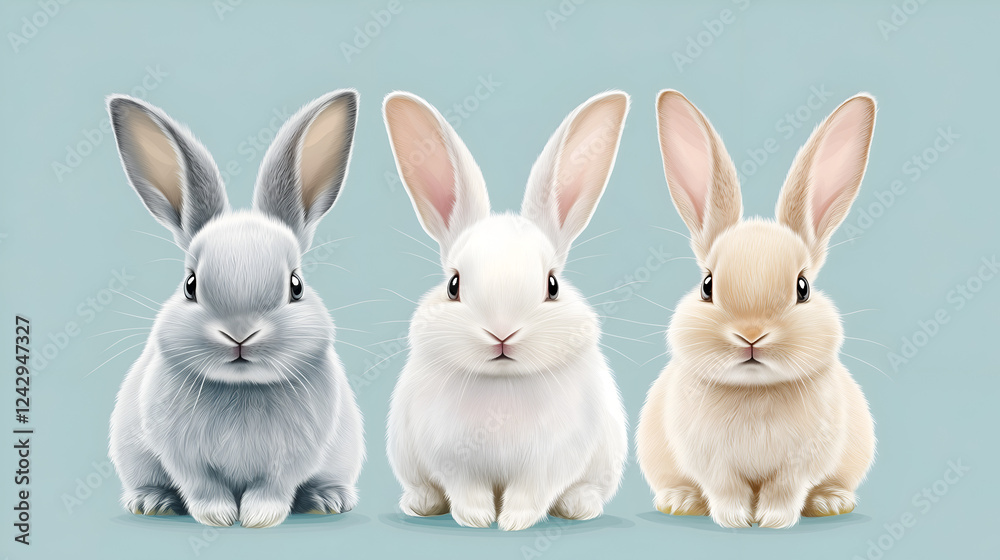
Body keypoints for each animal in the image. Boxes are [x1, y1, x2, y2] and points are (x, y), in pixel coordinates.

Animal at [106, 90, 364, 528]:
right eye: (190, 285)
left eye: (296, 286)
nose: (239, 334)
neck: (242, 388)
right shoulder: (184, 458)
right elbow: (202, 487)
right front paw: (219, 518)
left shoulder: (291, 460)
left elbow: (273, 488)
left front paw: (258, 518)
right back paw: (152, 502)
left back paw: (326, 499)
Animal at [382, 91, 630, 531]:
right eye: (453, 285)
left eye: (552, 285)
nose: (501, 333)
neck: (501, 383)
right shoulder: (454, 460)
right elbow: (467, 489)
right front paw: (477, 519)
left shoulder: (550, 463)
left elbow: (531, 492)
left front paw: (514, 522)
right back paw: (422, 504)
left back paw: (578, 506)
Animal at [636, 90, 877, 529]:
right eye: (707, 286)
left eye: (803, 288)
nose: (751, 335)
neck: (754, 391)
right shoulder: (711, 464)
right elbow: (725, 489)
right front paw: (734, 519)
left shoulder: (800, 466)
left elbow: (785, 489)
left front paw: (773, 520)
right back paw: (680, 502)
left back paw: (830, 503)